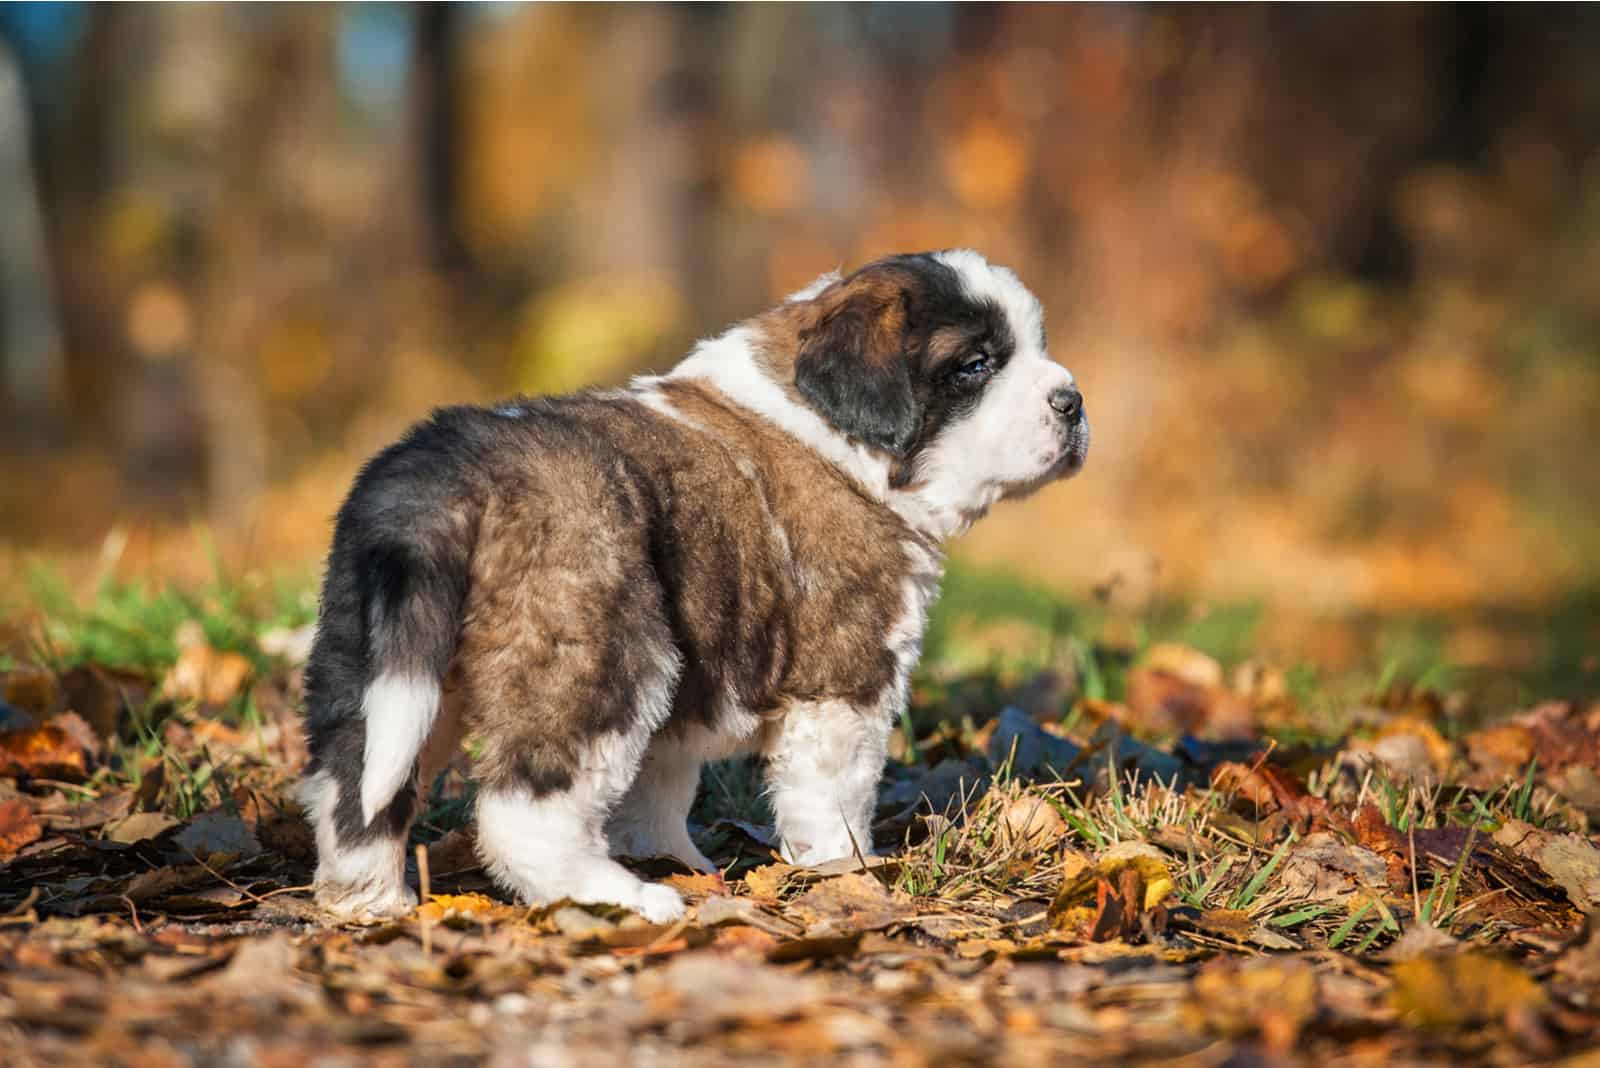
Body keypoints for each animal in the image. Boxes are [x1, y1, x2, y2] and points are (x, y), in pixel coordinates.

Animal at [300, 247, 1088, 920]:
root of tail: (446, 469)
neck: (834, 434)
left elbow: (659, 789)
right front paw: (849, 870)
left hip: (373, 655)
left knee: (354, 782)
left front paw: (670, 858)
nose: (1073, 401)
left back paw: (369, 900)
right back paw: (618, 898)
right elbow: (836, 790)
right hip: (600, 644)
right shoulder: (845, 679)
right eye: (976, 365)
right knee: (523, 807)